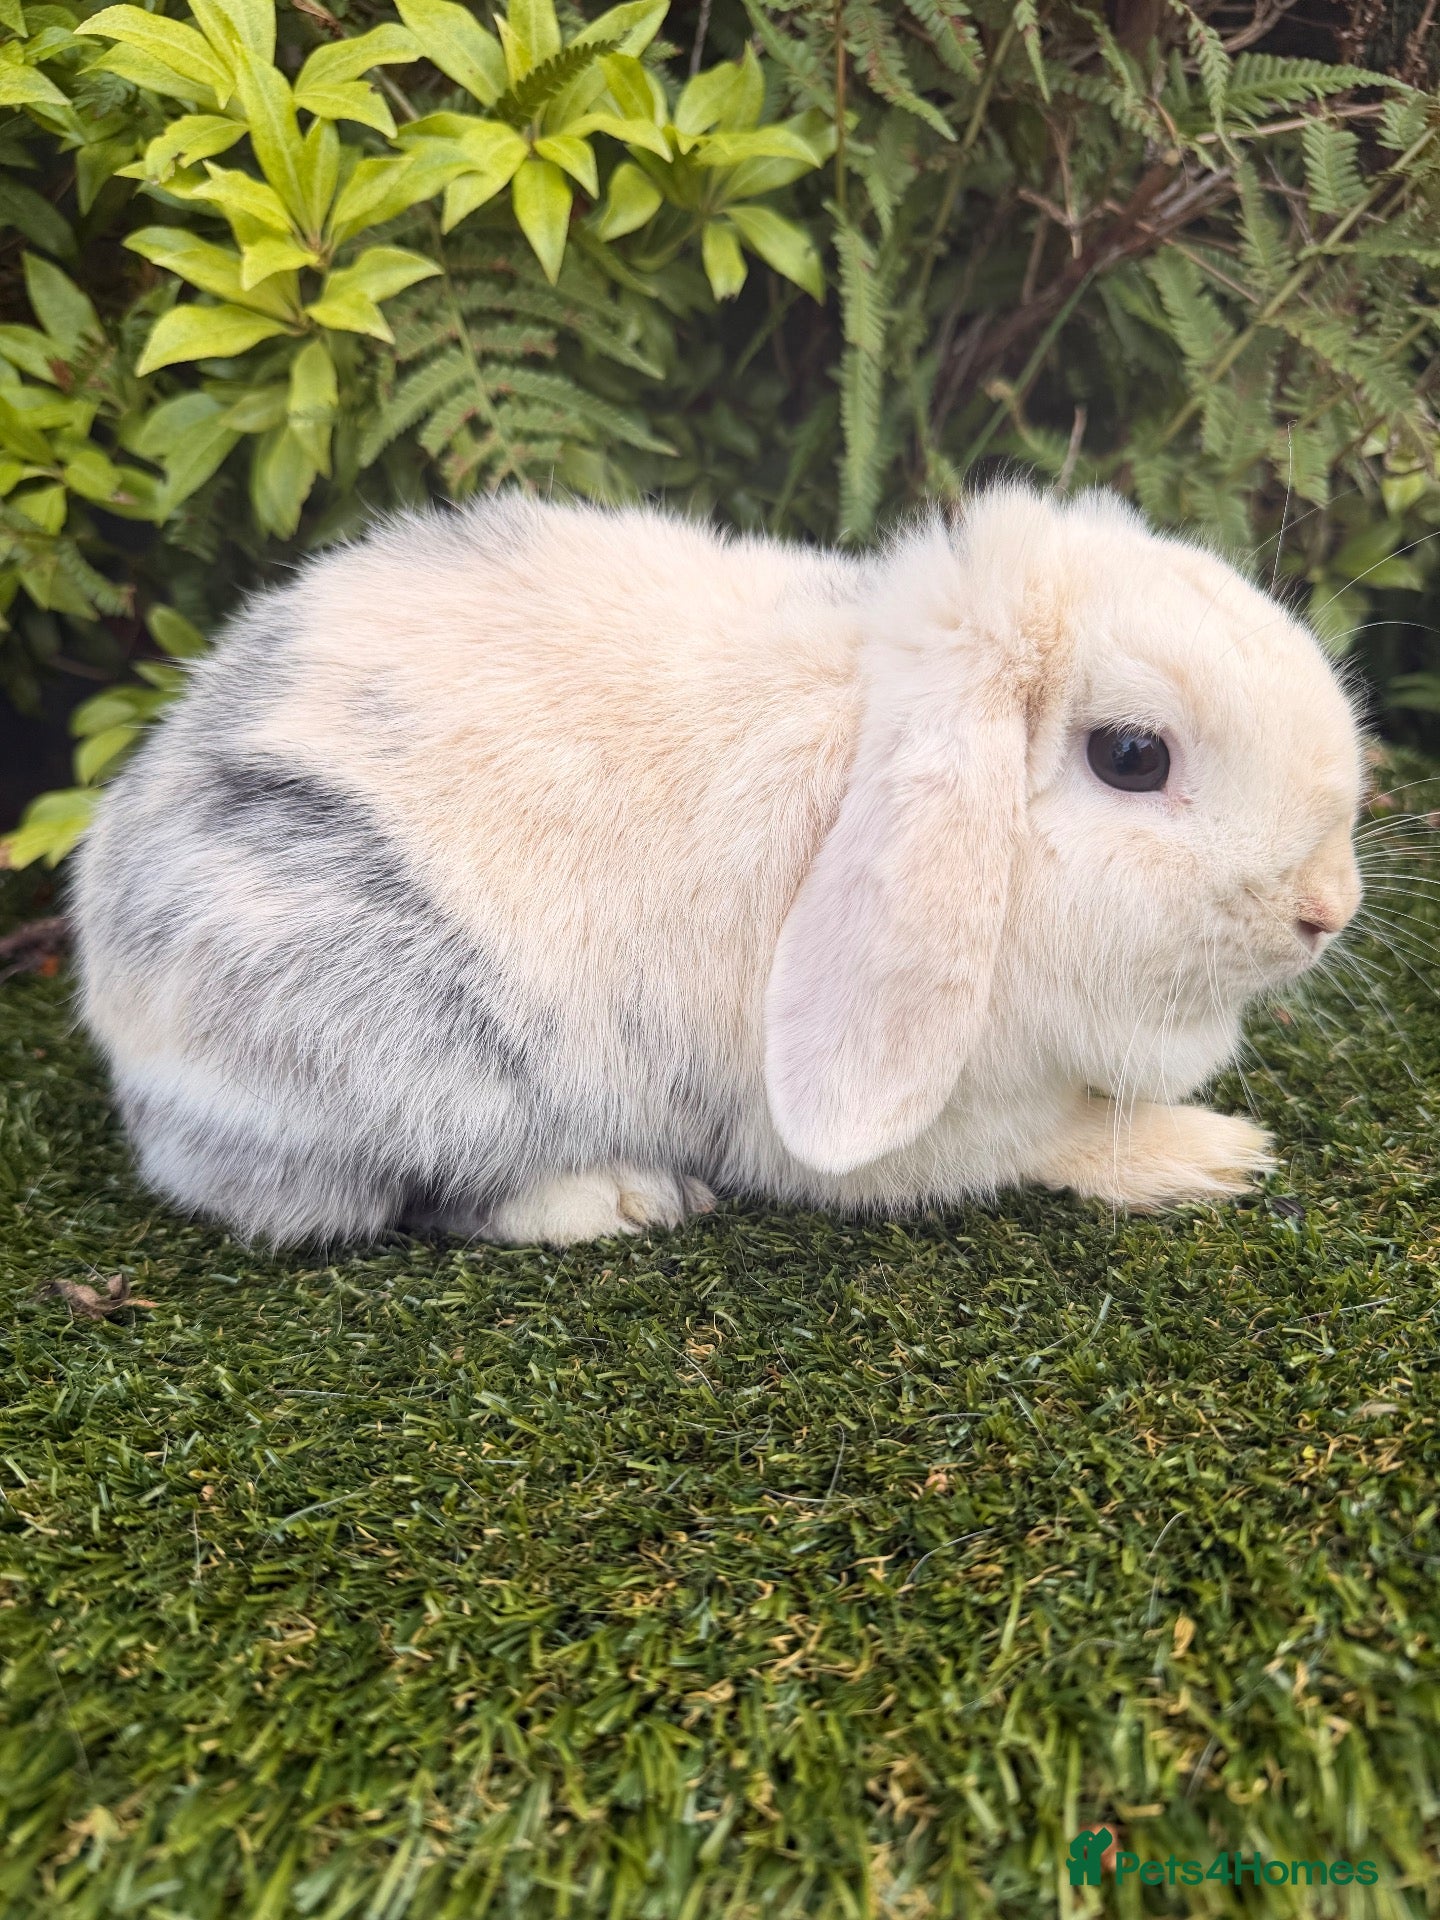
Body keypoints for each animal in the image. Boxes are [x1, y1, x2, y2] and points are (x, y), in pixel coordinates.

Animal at [72, 484, 1363, 1248]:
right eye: (1132, 757)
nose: (1328, 908)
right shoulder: (938, 1125)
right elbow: (1058, 1142)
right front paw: (1213, 1156)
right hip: (409, 1054)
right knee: (418, 1196)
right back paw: (625, 1197)